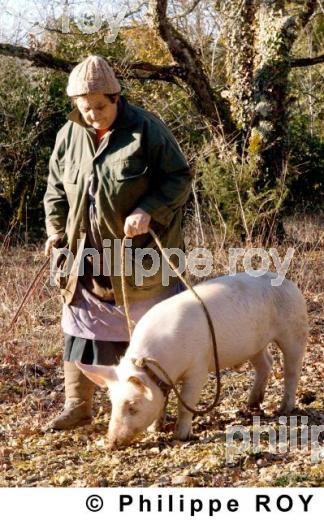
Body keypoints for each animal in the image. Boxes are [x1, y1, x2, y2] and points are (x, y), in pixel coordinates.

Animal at [75, 272, 306, 446]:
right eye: (112, 403)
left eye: (132, 406)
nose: (111, 443)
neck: (159, 364)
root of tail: (288, 282)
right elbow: (163, 399)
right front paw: (155, 429)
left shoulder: (198, 367)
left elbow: (185, 403)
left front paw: (181, 436)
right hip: (254, 345)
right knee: (266, 364)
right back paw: (252, 404)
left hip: (293, 329)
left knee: (292, 368)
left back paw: (283, 409)